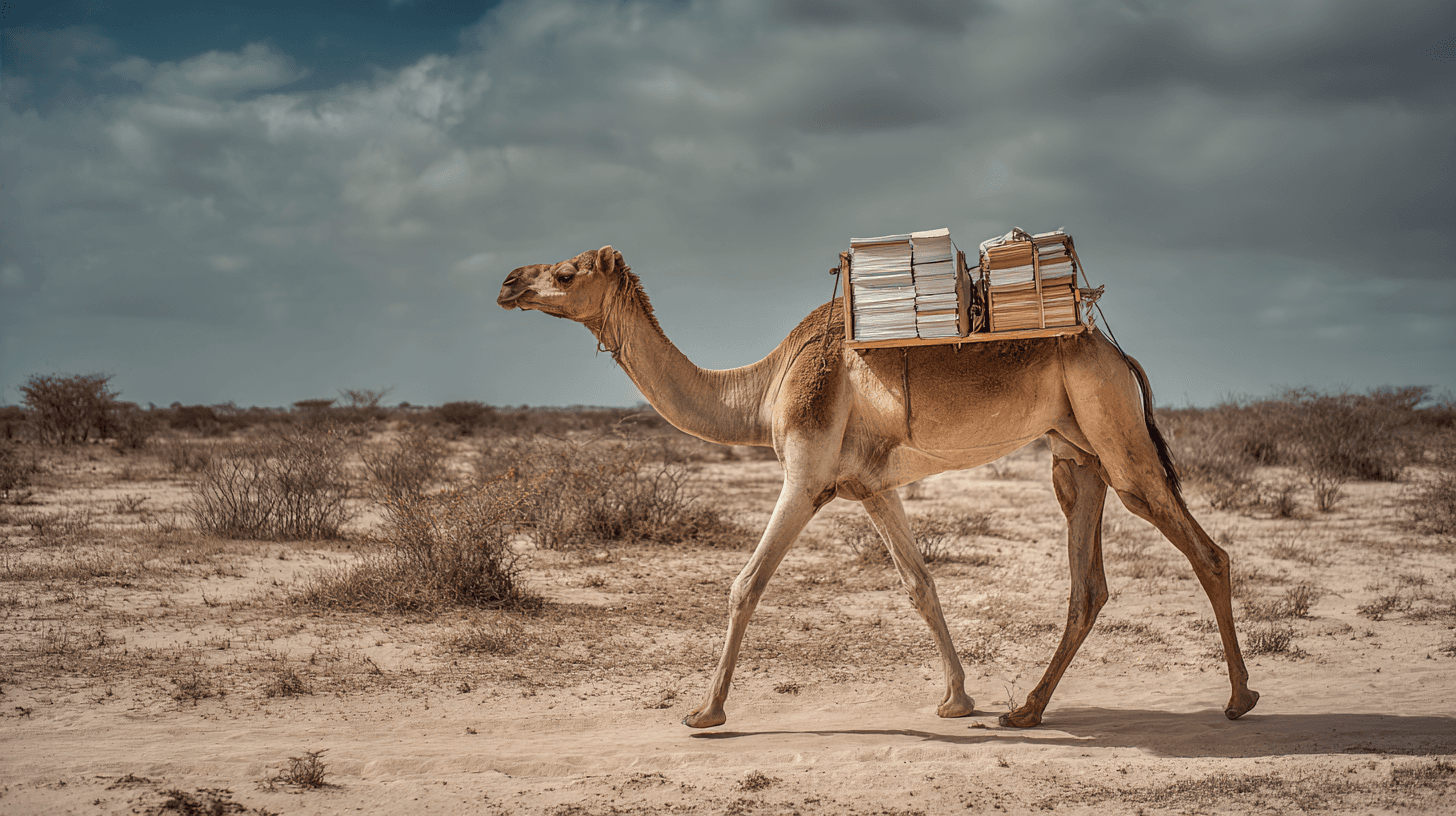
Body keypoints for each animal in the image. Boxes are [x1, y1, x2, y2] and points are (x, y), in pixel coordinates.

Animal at [497, 245, 1259, 729]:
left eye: (564, 272)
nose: (508, 281)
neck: (762, 391)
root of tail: (1118, 354)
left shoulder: (804, 475)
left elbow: (745, 583)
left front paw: (705, 711)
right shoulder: (870, 485)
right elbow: (920, 584)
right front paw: (958, 701)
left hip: (1116, 437)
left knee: (1206, 551)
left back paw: (1239, 699)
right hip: (1076, 454)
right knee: (1089, 583)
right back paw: (1026, 709)